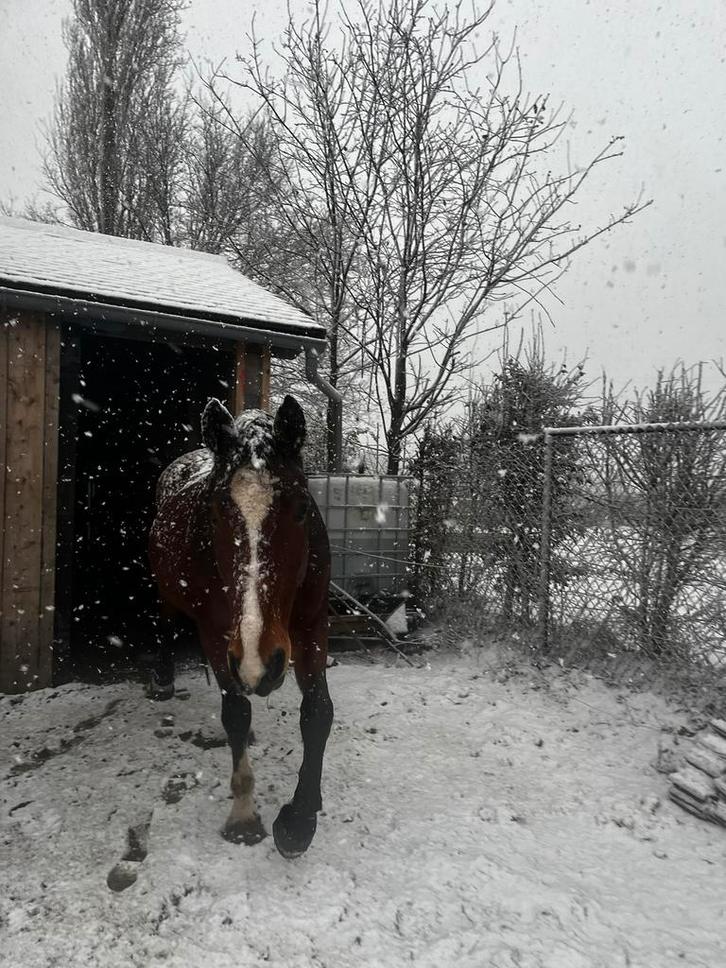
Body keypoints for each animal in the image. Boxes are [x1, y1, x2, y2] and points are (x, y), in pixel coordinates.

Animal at [148, 395, 334, 859]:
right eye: (217, 510)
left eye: (301, 507)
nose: (258, 662)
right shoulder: (218, 636)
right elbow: (235, 711)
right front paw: (244, 815)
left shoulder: (311, 625)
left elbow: (317, 712)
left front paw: (300, 819)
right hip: (169, 596)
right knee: (163, 621)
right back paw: (162, 680)